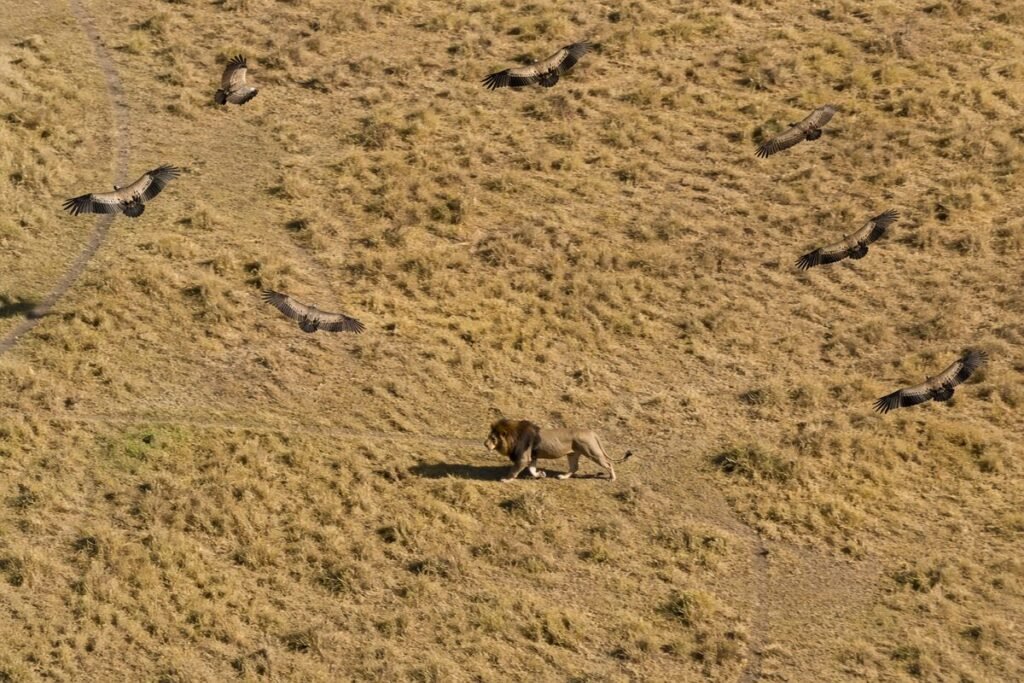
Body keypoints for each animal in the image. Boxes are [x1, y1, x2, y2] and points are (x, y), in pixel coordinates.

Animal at [485, 418, 632, 483]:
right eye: (489, 436)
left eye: (493, 438)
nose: (485, 444)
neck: (513, 437)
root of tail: (591, 432)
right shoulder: (532, 457)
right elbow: (532, 470)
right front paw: (541, 474)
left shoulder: (523, 458)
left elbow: (514, 470)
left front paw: (506, 479)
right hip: (573, 454)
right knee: (574, 467)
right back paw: (563, 477)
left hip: (592, 452)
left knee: (608, 463)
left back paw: (612, 478)